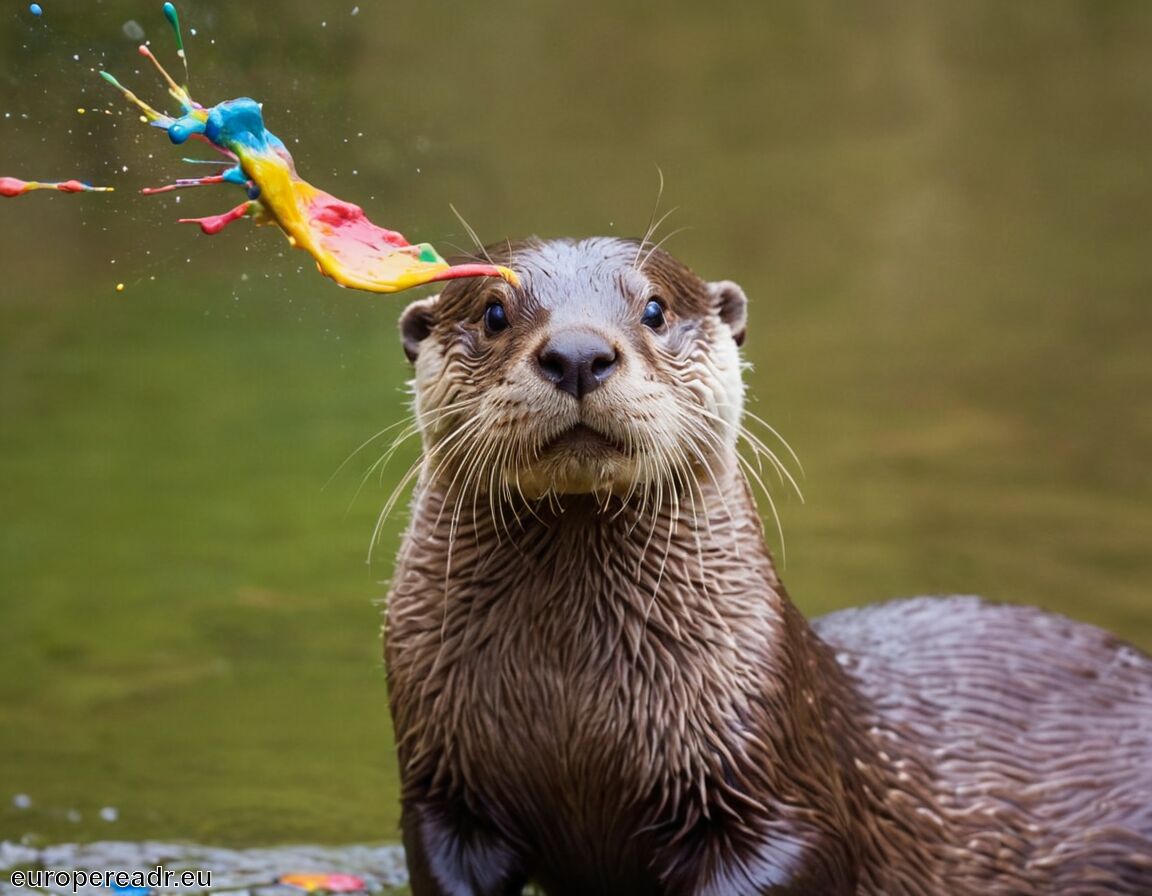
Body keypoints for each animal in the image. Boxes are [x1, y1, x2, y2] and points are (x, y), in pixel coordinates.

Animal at [384, 237, 1152, 895]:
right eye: (493, 311)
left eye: (655, 309)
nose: (578, 353)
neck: (573, 710)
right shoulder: (443, 798)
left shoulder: (777, 795)